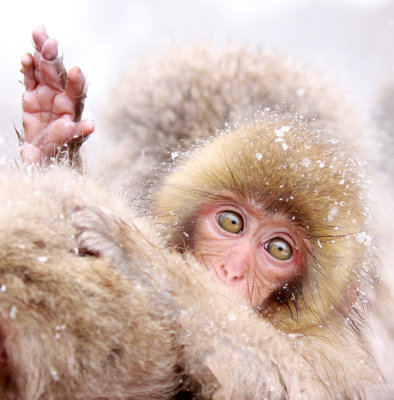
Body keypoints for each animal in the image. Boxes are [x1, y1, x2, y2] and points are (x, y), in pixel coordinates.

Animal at [0, 26, 382, 398]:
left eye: (279, 249)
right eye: (232, 222)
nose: (230, 272)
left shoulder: (333, 357)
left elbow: (286, 382)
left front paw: (142, 261)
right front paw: (51, 134)